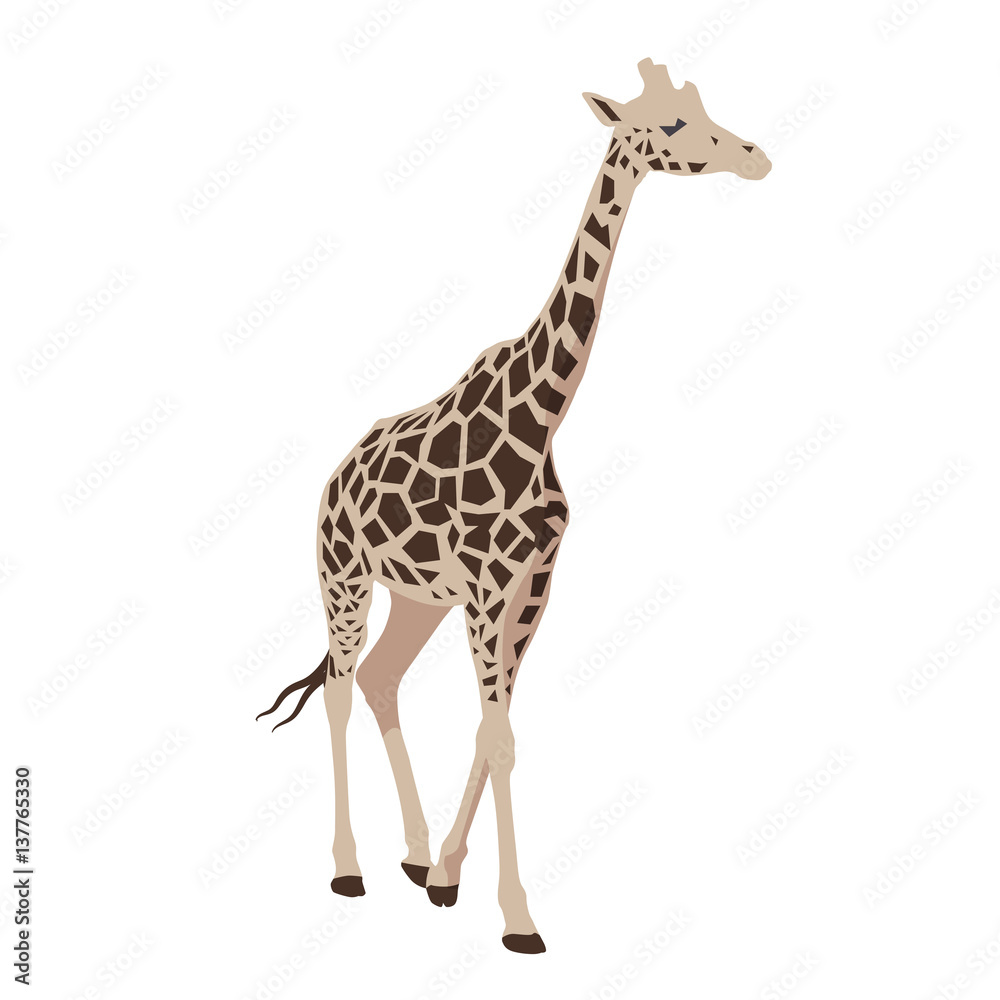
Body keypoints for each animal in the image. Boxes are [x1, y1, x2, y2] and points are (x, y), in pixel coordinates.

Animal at [258, 58, 770, 954]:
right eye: (671, 124)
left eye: (704, 109)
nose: (754, 156)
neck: (542, 417)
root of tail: (333, 478)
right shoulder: (489, 584)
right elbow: (497, 738)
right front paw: (519, 919)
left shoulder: (529, 585)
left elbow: (494, 733)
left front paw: (449, 879)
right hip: (344, 577)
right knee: (343, 688)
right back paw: (348, 869)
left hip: (417, 597)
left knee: (383, 681)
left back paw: (412, 854)